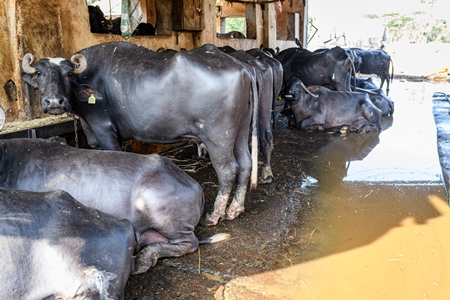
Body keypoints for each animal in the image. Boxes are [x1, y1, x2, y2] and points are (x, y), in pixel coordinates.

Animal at [21, 42, 258, 226]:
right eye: (39, 73)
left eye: (69, 73)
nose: (54, 102)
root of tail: (242, 68)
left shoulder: (104, 130)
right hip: (240, 131)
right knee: (246, 164)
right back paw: (235, 209)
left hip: (218, 136)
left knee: (228, 170)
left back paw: (215, 215)